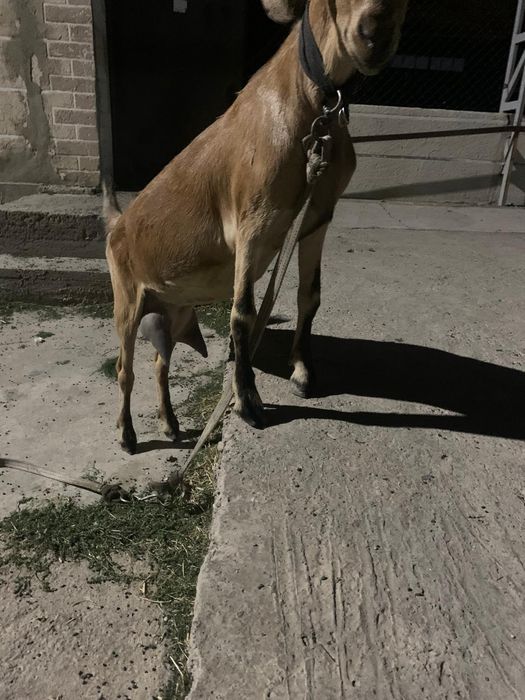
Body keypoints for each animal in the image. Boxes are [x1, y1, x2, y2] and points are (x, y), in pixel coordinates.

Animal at [104, 0, 409, 454]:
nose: (375, 35)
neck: (306, 111)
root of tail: (117, 225)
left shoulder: (317, 216)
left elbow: (309, 296)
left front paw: (302, 373)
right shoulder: (253, 222)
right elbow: (243, 311)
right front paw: (248, 402)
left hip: (170, 311)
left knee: (160, 363)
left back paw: (171, 425)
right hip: (126, 298)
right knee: (125, 368)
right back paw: (126, 434)